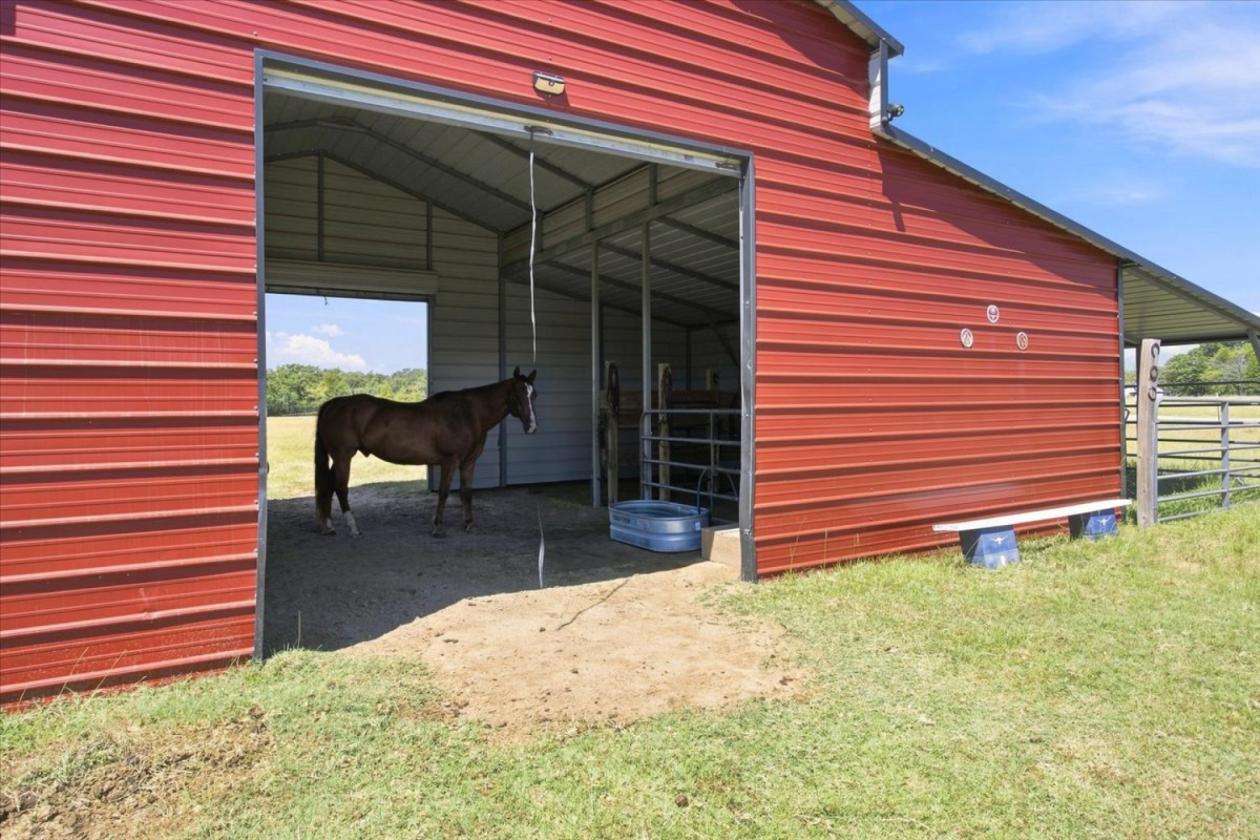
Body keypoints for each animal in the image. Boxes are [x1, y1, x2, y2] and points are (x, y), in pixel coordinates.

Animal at [314, 367, 538, 538]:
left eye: (533, 394)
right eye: (518, 393)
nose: (532, 427)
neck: (468, 413)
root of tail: (332, 404)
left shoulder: (468, 462)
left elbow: (467, 492)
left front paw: (469, 523)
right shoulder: (450, 461)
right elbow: (444, 492)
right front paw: (438, 527)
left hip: (338, 458)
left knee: (327, 485)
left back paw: (328, 526)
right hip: (343, 456)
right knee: (340, 488)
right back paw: (354, 528)